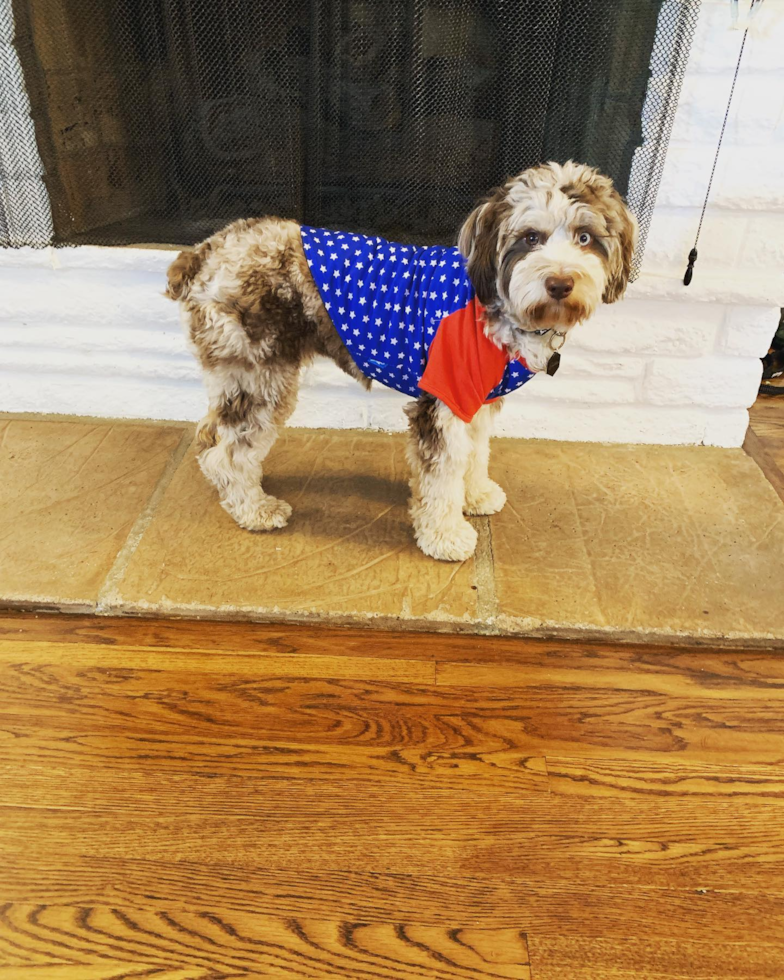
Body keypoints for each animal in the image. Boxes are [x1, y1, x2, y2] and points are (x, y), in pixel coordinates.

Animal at [165, 159, 636, 560]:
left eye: (585, 237)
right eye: (530, 238)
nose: (560, 283)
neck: (493, 305)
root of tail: (205, 251)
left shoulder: (477, 399)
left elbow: (475, 453)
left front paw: (476, 495)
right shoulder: (444, 400)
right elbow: (443, 475)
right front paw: (446, 535)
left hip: (240, 377)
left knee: (210, 435)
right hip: (261, 376)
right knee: (225, 450)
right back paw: (255, 509)